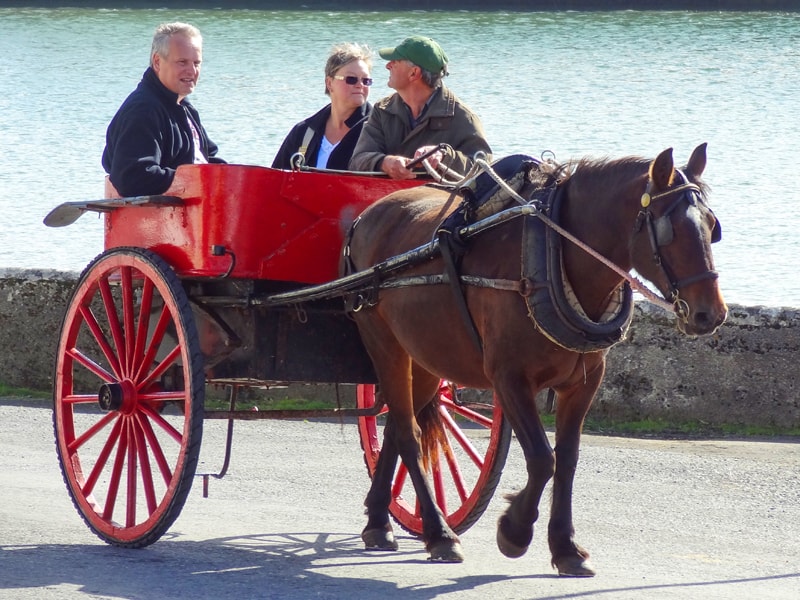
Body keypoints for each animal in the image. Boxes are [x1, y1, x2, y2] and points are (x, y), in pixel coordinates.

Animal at [340, 144, 728, 576]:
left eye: (712, 226)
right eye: (669, 229)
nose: (710, 314)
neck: (553, 255)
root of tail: (368, 215)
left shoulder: (584, 382)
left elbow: (568, 460)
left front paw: (565, 546)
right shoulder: (509, 379)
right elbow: (543, 460)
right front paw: (515, 530)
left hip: (424, 356)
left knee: (399, 425)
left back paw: (380, 520)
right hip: (383, 341)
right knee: (408, 432)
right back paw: (439, 533)